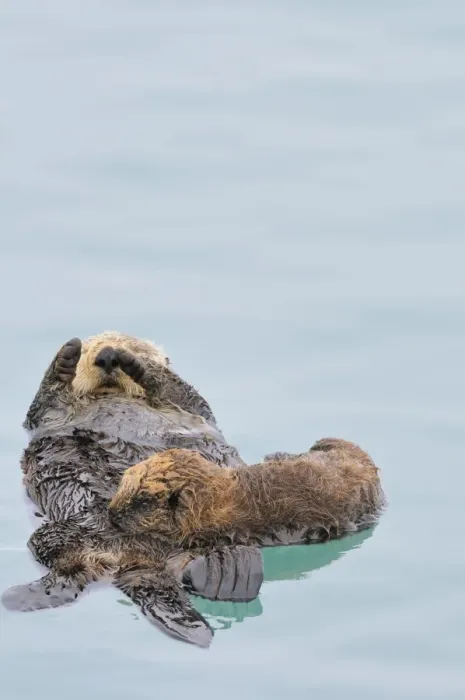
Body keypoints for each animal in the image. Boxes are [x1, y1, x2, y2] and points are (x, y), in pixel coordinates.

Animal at [2, 332, 263, 646]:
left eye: (133, 345)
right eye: (88, 350)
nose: (107, 356)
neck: (110, 394)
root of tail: (139, 563)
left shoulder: (191, 407)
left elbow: (177, 389)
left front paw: (136, 364)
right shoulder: (46, 414)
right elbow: (46, 399)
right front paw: (66, 358)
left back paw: (227, 572)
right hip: (57, 535)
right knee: (71, 571)